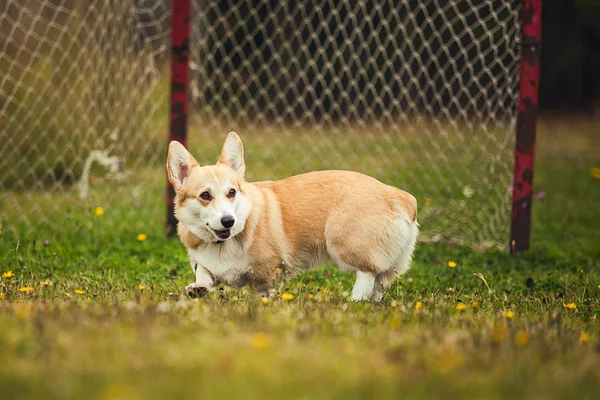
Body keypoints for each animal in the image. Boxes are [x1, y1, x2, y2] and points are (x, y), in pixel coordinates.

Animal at [164, 133, 418, 302]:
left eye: (232, 192)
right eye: (205, 196)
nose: (229, 221)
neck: (222, 244)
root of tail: (401, 196)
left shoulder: (267, 272)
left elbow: (261, 290)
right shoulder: (203, 263)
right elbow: (204, 273)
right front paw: (198, 288)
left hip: (343, 241)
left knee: (367, 275)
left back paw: (353, 302)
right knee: (380, 283)